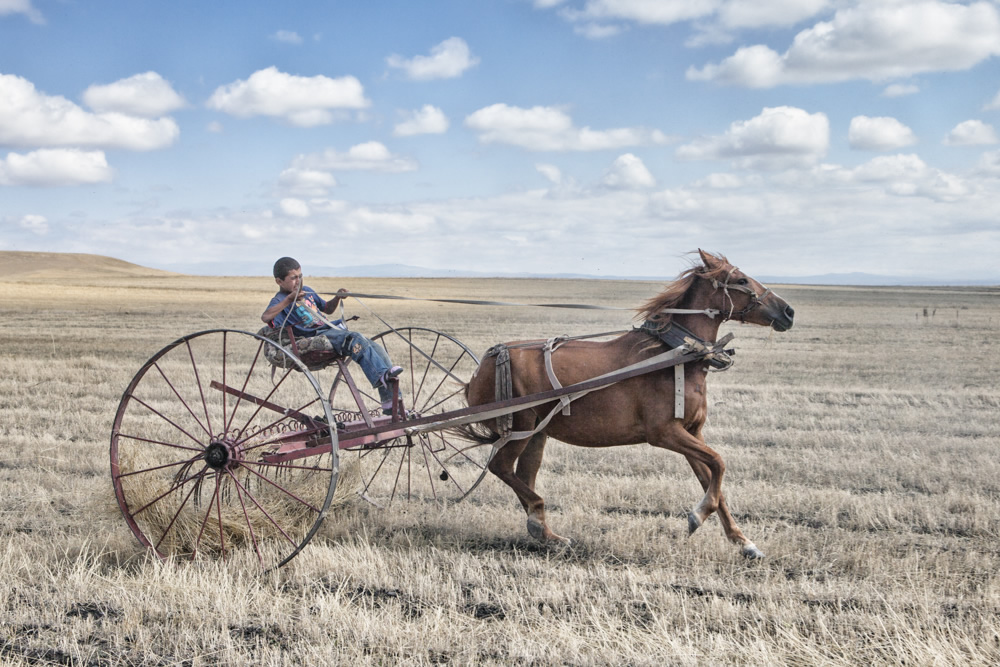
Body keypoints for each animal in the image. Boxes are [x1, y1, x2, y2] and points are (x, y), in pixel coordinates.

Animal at [460, 249, 796, 560]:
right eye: (741, 280)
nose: (789, 311)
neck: (674, 356)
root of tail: (486, 363)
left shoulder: (692, 432)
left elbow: (712, 478)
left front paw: (744, 542)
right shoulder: (664, 433)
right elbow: (719, 463)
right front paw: (697, 516)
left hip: (537, 432)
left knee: (523, 474)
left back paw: (545, 532)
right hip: (520, 426)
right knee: (501, 466)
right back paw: (540, 516)